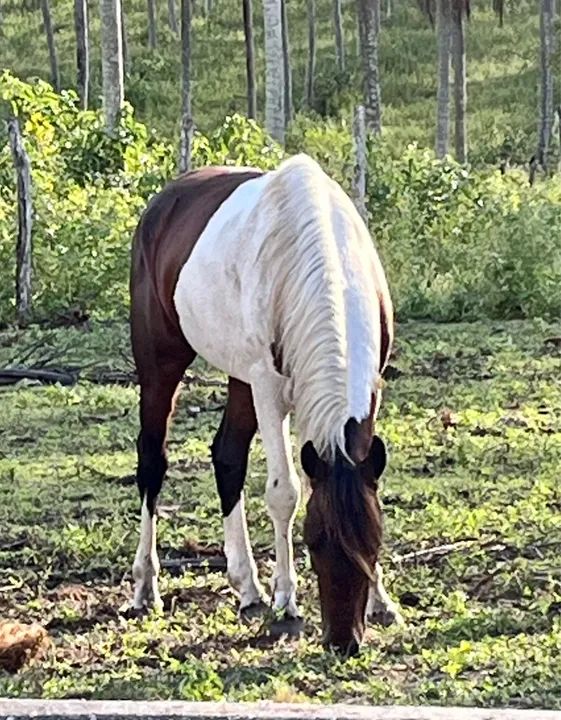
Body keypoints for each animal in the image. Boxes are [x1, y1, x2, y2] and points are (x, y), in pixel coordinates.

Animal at [129, 153, 402, 656]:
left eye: (372, 544)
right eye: (315, 544)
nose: (343, 642)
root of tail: (164, 201)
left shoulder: (369, 387)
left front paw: (382, 601)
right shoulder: (269, 388)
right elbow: (284, 493)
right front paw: (287, 603)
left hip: (239, 379)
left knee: (227, 456)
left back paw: (247, 588)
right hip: (163, 361)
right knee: (152, 461)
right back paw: (146, 586)